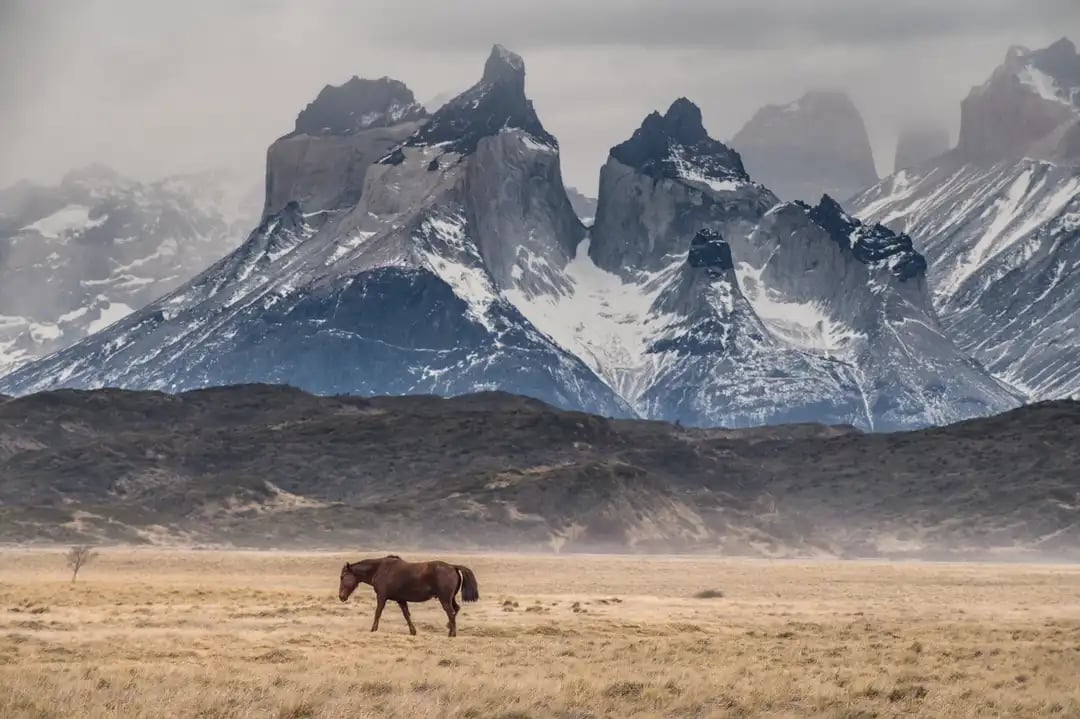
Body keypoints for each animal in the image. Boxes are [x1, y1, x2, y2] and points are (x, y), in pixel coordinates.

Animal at [339, 550, 479, 634]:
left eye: (342, 577)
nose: (341, 597)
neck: (379, 570)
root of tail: (452, 566)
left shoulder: (382, 597)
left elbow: (378, 612)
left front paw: (373, 629)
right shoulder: (401, 600)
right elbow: (406, 615)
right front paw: (413, 631)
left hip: (444, 599)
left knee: (451, 612)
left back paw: (451, 634)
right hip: (451, 598)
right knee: (456, 609)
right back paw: (449, 626)